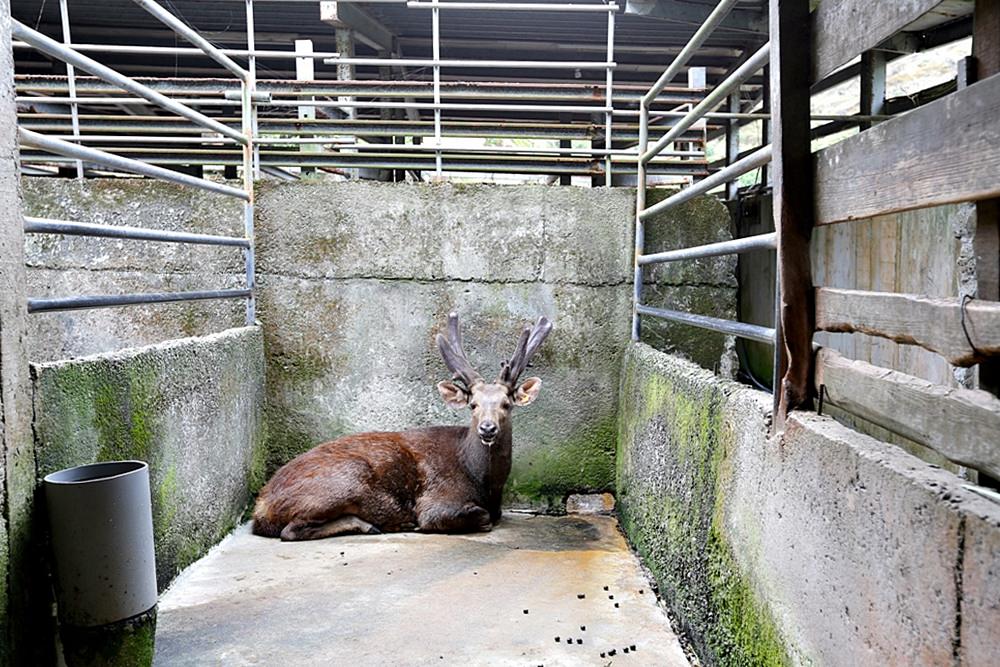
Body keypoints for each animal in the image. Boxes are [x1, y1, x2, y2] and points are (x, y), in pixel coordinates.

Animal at [248, 314, 548, 544]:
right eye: (473, 405)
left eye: (506, 404)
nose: (487, 428)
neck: (484, 482)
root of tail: (261, 506)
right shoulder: (436, 503)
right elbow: (482, 517)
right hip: (344, 480)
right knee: (290, 530)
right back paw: (374, 524)